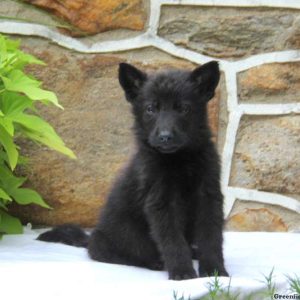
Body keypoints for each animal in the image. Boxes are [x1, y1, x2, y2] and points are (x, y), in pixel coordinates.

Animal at [38, 60, 229, 278]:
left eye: (183, 108)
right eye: (151, 109)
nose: (165, 137)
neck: (180, 158)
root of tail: (91, 237)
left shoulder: (209, 196)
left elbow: (211, 237)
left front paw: (214, 270)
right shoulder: (161, 202)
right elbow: (173, 240)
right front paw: (183, 272)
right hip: (111, 243)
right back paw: (155, 262)